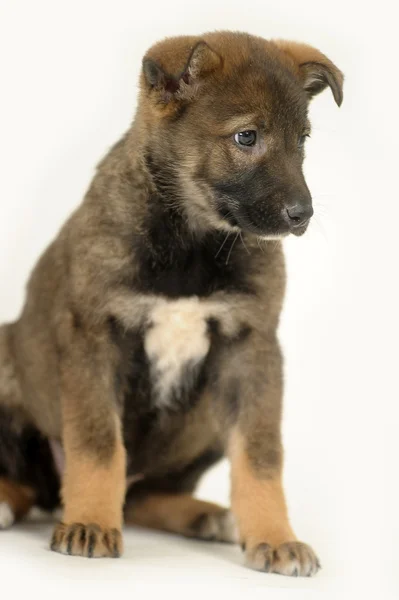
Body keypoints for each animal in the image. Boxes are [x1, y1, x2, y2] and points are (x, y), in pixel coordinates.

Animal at [0, 30, 344, 576]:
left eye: (303, 140)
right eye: (247, 137)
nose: (302, 215)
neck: (193, 241)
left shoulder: (252, 349)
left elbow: (260, 456)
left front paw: (275, 536)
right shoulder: (95, 338)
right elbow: (98, 445)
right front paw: (91, 522)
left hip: (204, 420)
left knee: (141, 495)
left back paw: (205, 515)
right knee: (33, 480)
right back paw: (10, 501)